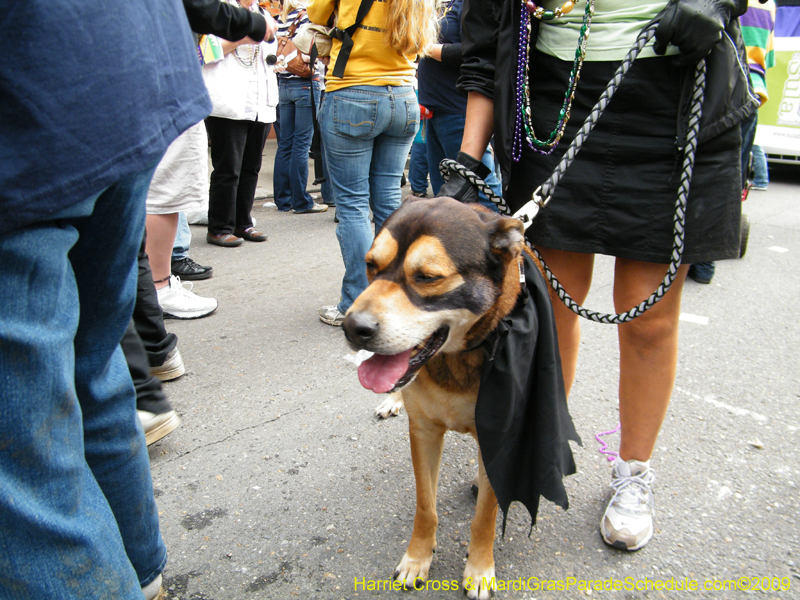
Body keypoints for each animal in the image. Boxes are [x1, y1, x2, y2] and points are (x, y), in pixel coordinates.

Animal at [344, 197, 544, 600]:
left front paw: (480, 568)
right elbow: (426, 506)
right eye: (371, 264)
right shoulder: (423, 432)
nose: (352, 328)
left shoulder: (499, 437)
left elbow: (485, 515)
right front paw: (417, 557)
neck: (456, 359)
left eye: (427, 277)